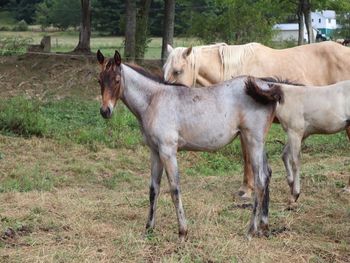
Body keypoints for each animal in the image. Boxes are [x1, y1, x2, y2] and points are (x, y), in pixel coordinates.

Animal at [96, 50, 284, 241]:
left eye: (117, 80)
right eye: (99, 80)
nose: (105, 111)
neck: (154, 99)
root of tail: (266, 84)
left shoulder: (168, 151)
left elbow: (174, 189)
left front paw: (182, 232)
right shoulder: (155, 152)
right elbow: (153, 189)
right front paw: (149, 228)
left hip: (253, 141)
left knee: (260, 180)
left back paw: (251, 231)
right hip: (257, 142)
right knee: (267, 174)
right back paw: (264, 227)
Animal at [262, 77, 350, 207]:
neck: (286, 99)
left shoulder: (295, 132)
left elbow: (295, 161)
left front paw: (295, 195)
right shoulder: (301, 134)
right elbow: (285, 155)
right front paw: (291, 184)